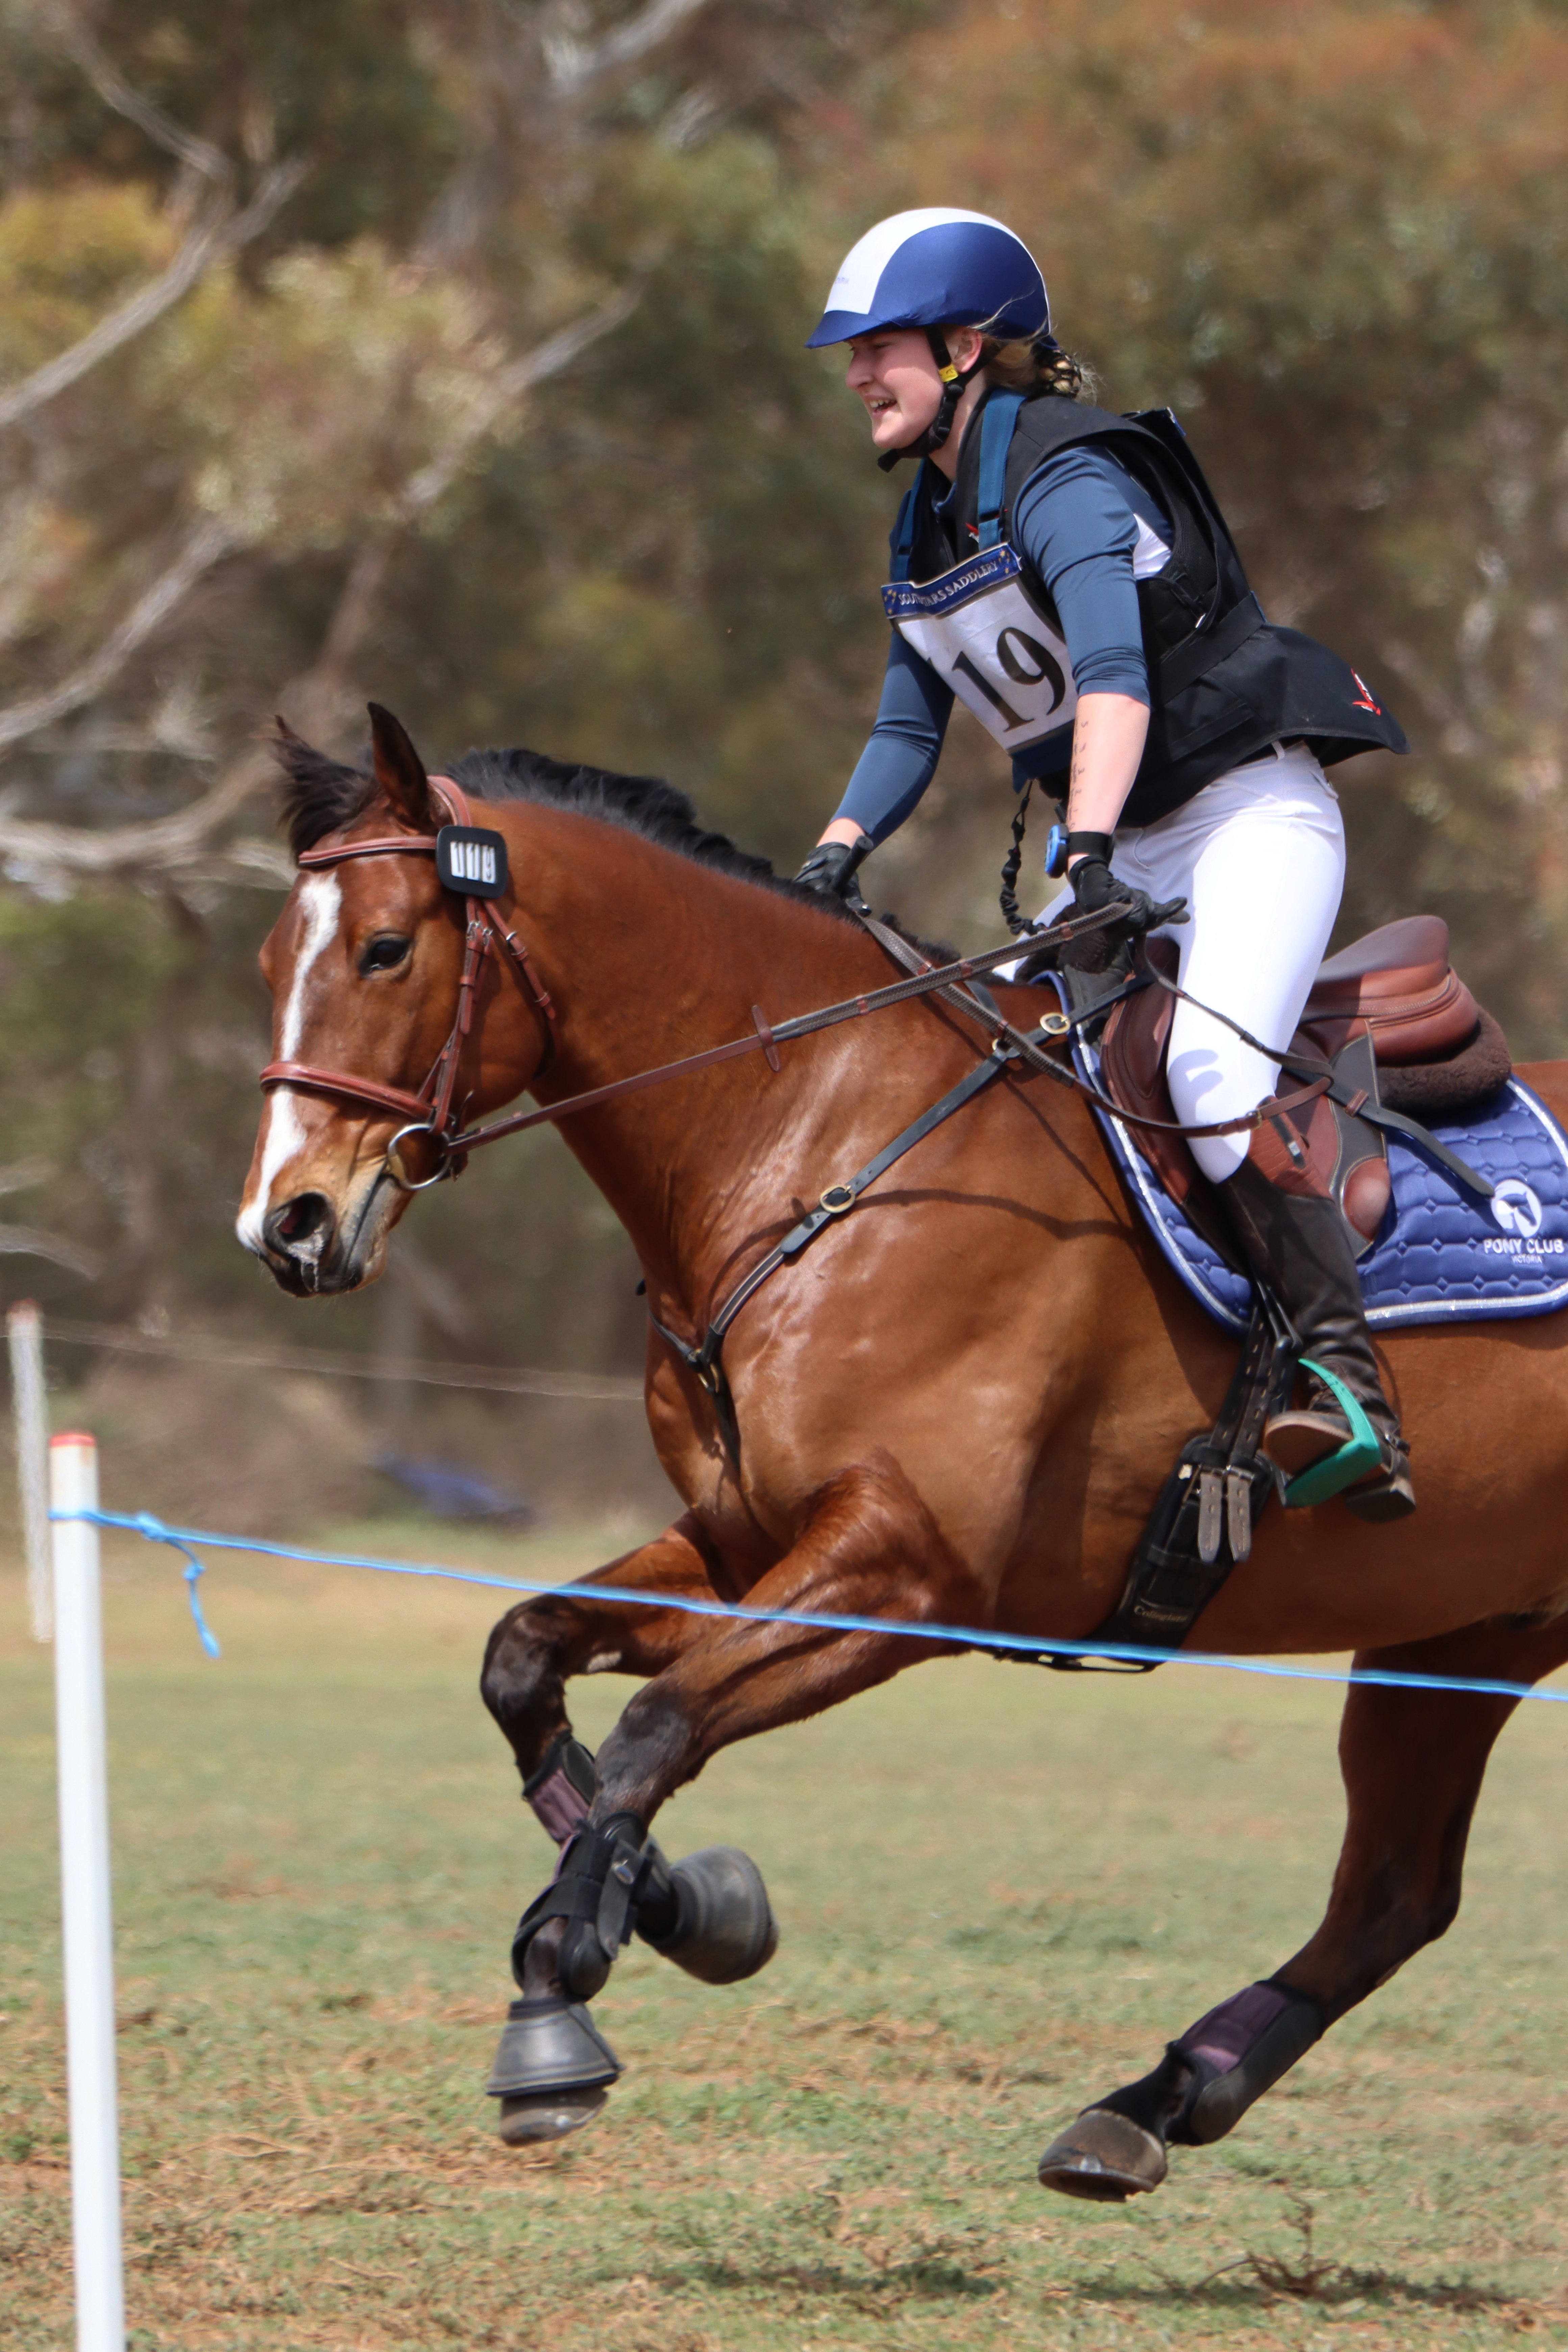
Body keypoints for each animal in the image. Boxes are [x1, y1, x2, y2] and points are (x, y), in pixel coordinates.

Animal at [238, 702, 1568, 2199]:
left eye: (385, 949)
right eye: (272, 960)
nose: (285, 1223)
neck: (814, 1137)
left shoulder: (906, 1577)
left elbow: (661, 1720)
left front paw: (563, 1989)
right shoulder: (746, 1544)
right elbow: (524, 1658)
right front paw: (679, 1906)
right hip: (1468, 1627)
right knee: (1392, 1896)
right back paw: (1149, 2105)